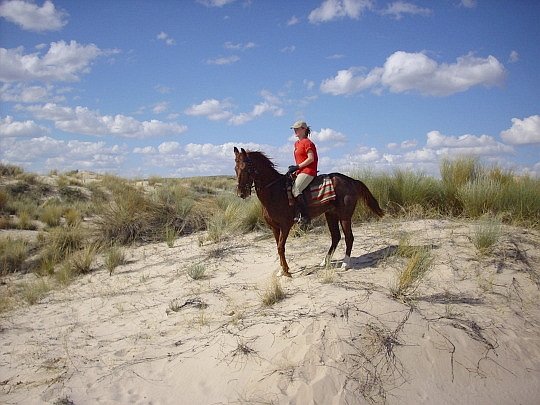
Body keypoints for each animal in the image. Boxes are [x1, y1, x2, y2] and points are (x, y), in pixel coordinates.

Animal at [233, 147, 384, 276]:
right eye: (235, 168)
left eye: (247, 168)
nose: (241, 193)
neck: (275, 191)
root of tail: (352, 180)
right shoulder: (275, 227)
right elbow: (278, 248)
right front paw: (282, 270)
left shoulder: (285, 226)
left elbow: (281, 247)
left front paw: (286, 271)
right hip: (331, 215)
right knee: (336, 237)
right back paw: (325, 261)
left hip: (345, 216)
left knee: (349, 237)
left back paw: (345, 264)